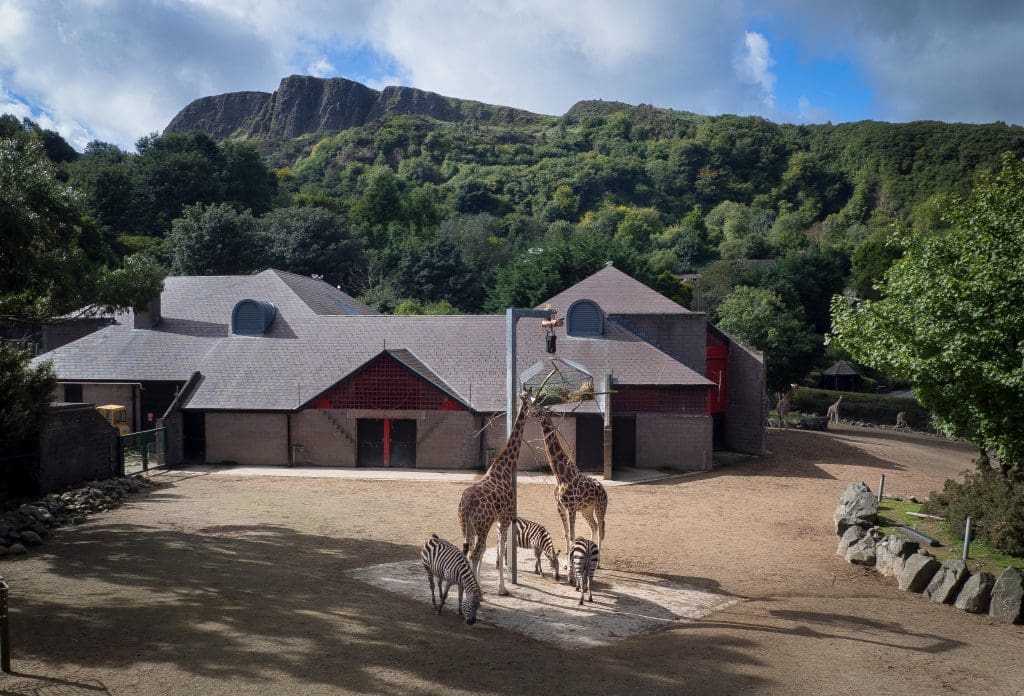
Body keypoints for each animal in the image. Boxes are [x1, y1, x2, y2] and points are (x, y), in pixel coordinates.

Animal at [460, 388, 532, 593]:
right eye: (533, 401)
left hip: (466, 524)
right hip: (482, 525)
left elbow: (491, 548)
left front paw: (483, 583)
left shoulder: (498, 519)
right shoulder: (505, 516)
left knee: (468, 550)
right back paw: (475, 591)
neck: (505, 467)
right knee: (475, 552)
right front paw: (502, 588)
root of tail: (466, 503)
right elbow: (502, 545)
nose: (538, 410)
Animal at [536, 407, 606, 577]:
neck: (560, 475)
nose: (528, 411)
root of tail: (604, 489)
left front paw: (571, 566)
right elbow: (567, 533)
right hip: (587, 509)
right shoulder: (560, 507)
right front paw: (567, 564)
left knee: (601, 529)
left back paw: (598, 563)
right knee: (594, 526)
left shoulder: (571, 508)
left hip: (600, 508)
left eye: (535, 407)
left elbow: (573, 534)